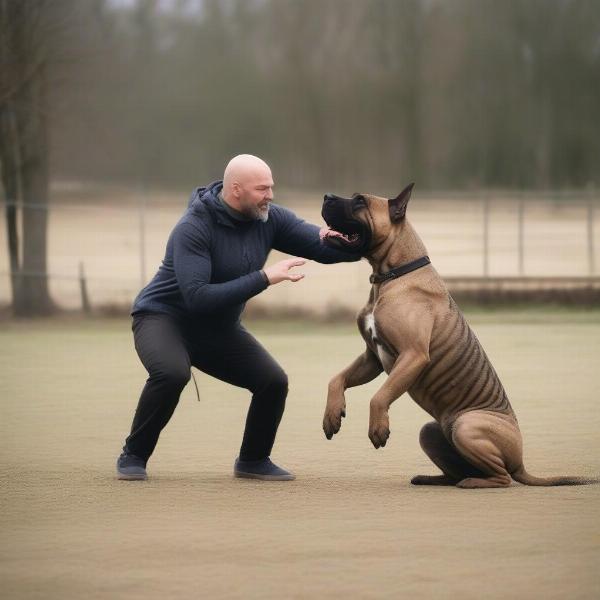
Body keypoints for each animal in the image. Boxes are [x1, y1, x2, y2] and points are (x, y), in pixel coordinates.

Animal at [322, 184, 592, 488]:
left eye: (359, 201)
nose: (327, 196)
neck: (393, 275)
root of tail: (522, 463)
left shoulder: (413, 355)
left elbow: (380, 396)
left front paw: (378, 428)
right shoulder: (372, 358)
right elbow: (337, 379)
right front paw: (332, 415)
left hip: (466, 426)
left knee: (502, 478)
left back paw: (474, 483)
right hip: (430, 431)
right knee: (459, 472)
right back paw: (432, 478)